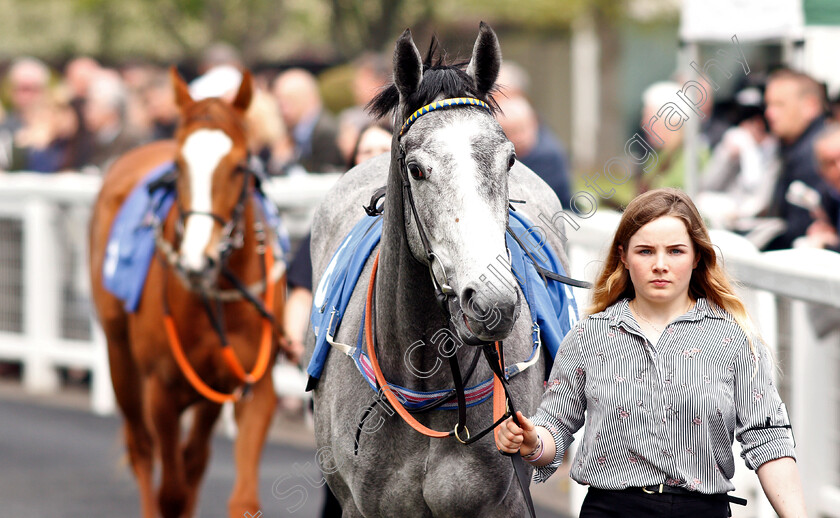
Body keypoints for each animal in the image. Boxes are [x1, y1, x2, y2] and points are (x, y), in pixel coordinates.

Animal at [89, 68, 286, 516]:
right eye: (178, 166)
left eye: (239, 167)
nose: (198, 261)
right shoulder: (159, 389)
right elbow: (171, 492)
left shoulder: (255, 384)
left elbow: (241, 497)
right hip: (120, 359)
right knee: (142, 450)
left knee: (195, 458)